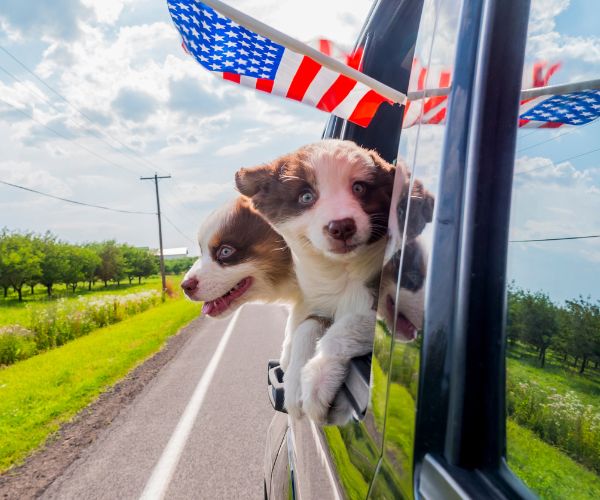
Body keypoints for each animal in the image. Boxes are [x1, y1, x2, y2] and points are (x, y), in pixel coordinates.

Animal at [237, 139, 400, 424]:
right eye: (306, 197)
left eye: (359, 188)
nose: (342, 226)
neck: (344, 270)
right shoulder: (321, 300)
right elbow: (308, 324)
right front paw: (294, 380)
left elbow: (350, 324)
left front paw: (317, 378)